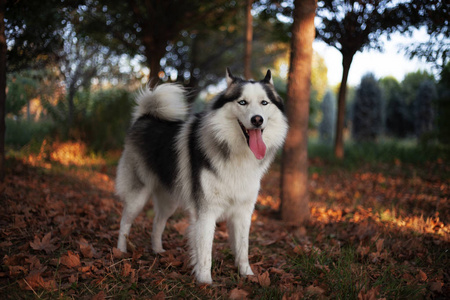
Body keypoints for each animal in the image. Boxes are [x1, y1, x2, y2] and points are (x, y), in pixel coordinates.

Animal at [116, 68, 288, 284]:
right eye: (242, 102)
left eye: (264, 103)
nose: (257, 119)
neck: (237, 153)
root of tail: (146, 117)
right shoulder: (207, 211)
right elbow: (205, 250)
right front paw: (205, 281)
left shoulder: (243, 211)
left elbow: (243, 247)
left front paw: (247, 274)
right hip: (138, 196)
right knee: (125, 222)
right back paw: (120, 251)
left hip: (169, 200)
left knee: (157, 222)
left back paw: (158, 251)